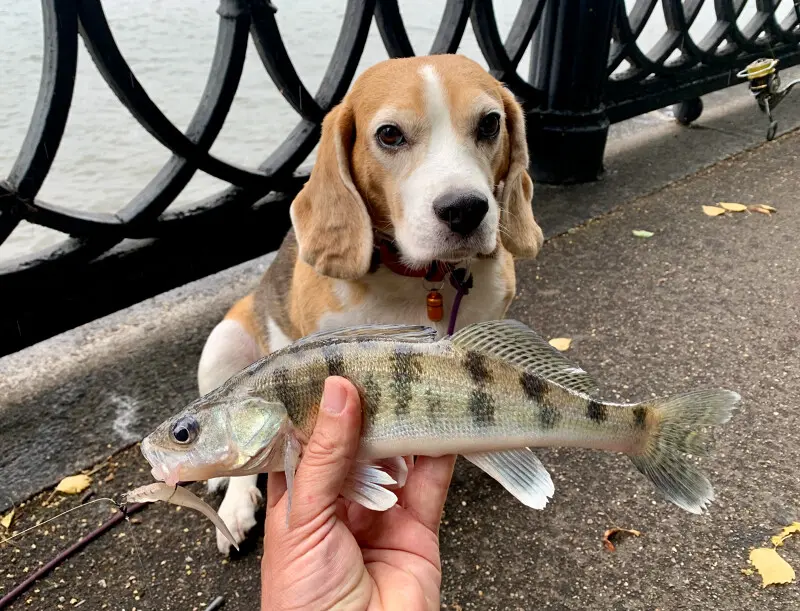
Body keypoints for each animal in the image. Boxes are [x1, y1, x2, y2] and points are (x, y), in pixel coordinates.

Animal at [198, 53, 548, 556]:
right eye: (389, 134)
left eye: (489, 123)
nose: (465, 209)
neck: (423, 281)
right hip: (222, 343)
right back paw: (235, 505)